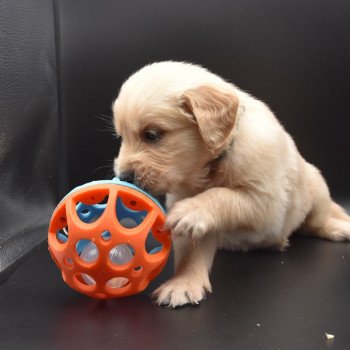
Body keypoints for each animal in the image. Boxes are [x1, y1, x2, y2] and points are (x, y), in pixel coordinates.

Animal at [113, 61, 350, 308]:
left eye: (152, 134)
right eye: (121, 137)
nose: (123, 176)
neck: (213, 163)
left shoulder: (269, 204)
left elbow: (222, 195)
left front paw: (190, 210)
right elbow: (193, 248)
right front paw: (183, 283)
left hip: (316, 186)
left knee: (317, 220)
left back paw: (337, 227)